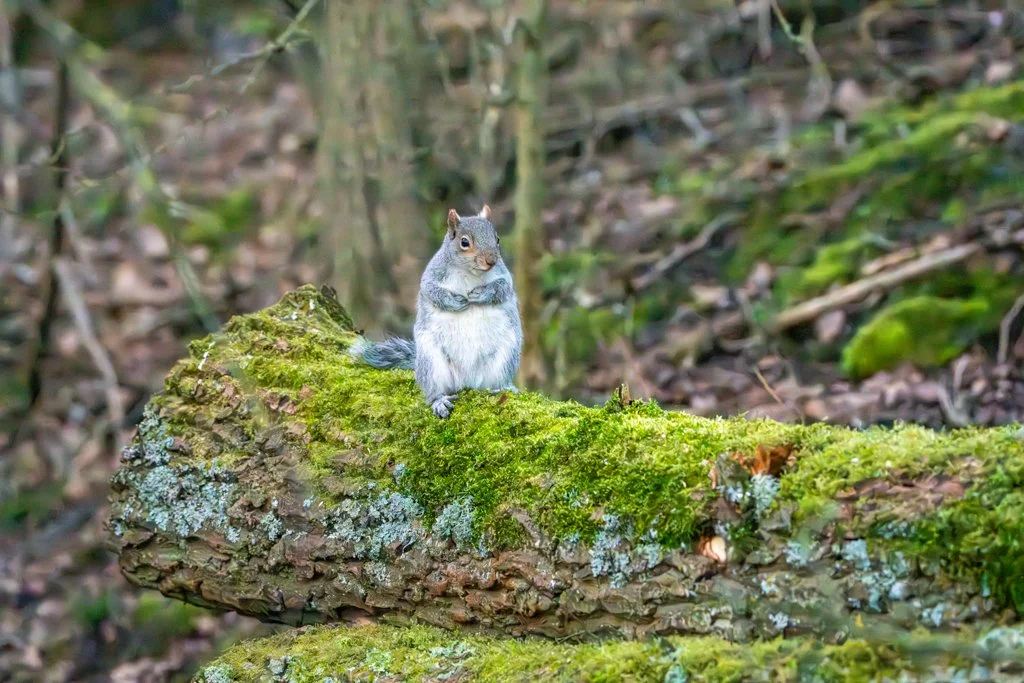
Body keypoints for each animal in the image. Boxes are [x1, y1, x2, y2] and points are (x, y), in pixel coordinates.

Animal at [349, 205, 522, 418]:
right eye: (464, 242)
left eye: (497, 239)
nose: (491, 261)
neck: (470, 273)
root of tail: (468, 380)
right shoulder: (431, 277)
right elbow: (432, 292)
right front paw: (455, 301)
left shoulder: (504, 276)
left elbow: (502, 288)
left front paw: (481, 294)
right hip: (432, 362)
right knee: (434, 391)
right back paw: (439, 401)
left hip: (505, 356)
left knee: (494, 382)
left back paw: (503, 387)